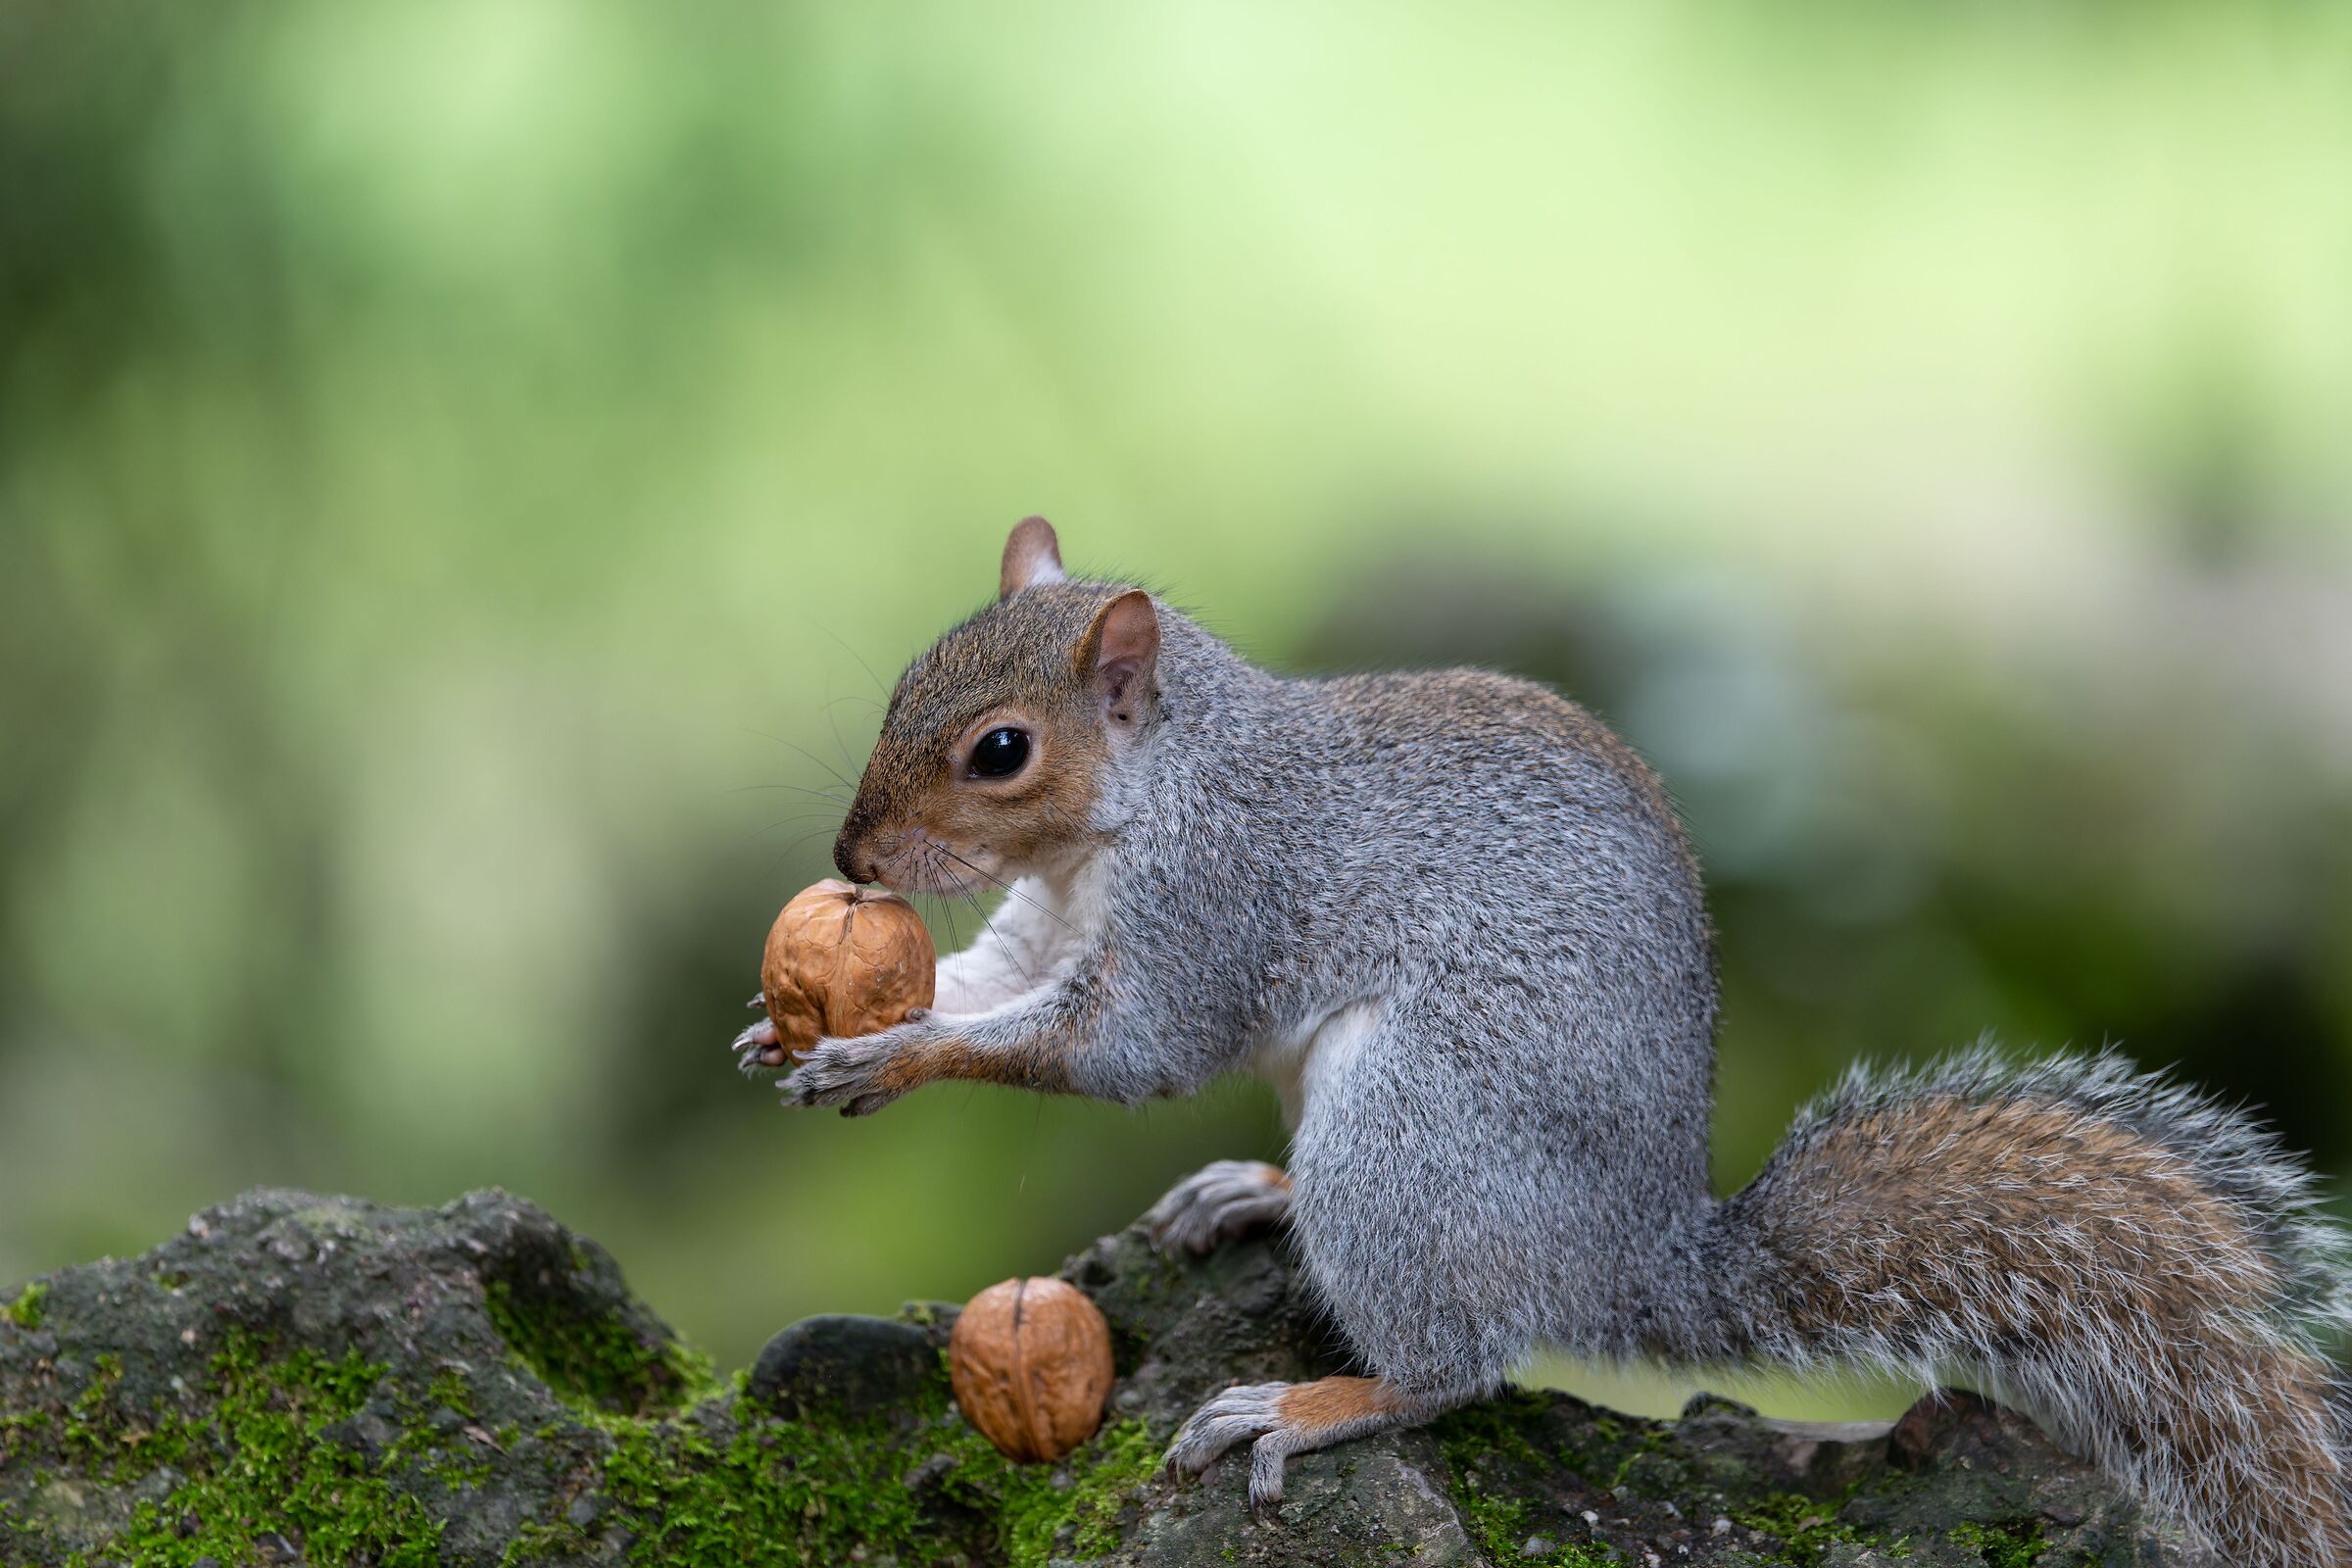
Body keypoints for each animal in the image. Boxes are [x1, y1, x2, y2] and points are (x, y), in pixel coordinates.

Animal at [731, 516, 2352, 1565]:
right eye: (903, 681)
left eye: (1000, 750)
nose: (852, 857)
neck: (1142, 805)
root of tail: (1631, 1256)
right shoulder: (1042, 925)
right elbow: (985, 981)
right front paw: (797, 1023)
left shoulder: (1220, 901)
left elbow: (1126, 1047)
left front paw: (884, 1058)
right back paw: (1254, 1193)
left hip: (1409, 1124)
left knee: (1462, 1368)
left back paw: (1310, 1403)